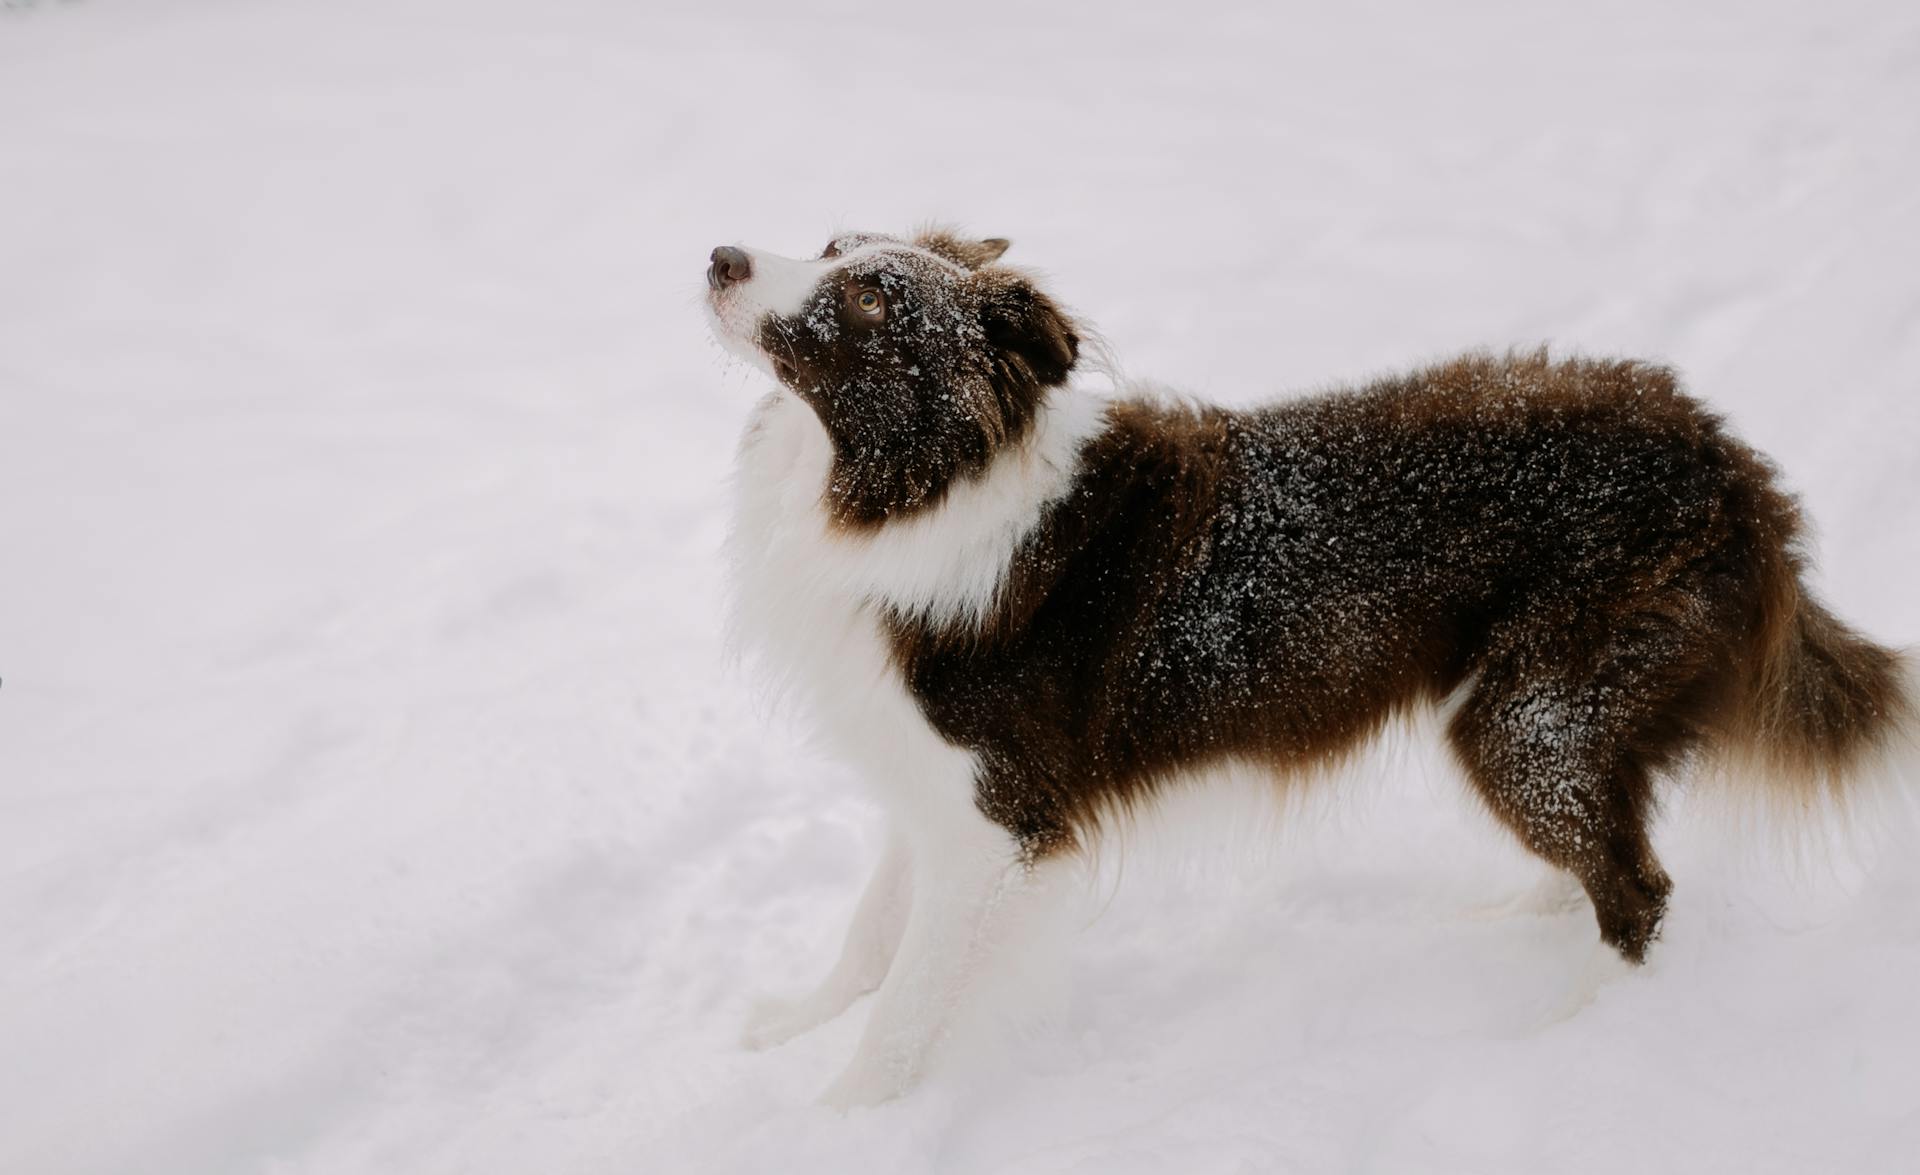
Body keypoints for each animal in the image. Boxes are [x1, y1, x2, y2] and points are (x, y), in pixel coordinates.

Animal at [706, 224, 1920, 1105]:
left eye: (870, 299)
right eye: (829, 243)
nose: (719, 258)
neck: (909, 486)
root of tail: (1727, 459)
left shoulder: (1002, 811)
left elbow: (910, 997)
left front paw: (841, 1122)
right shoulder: (936, 787)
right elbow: (873, 934)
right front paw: (788, 1026)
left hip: (1527, 712)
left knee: (1640, 890)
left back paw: (1564, 1034)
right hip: (1550, 713)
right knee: (1612, 840)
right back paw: (1526, 915)